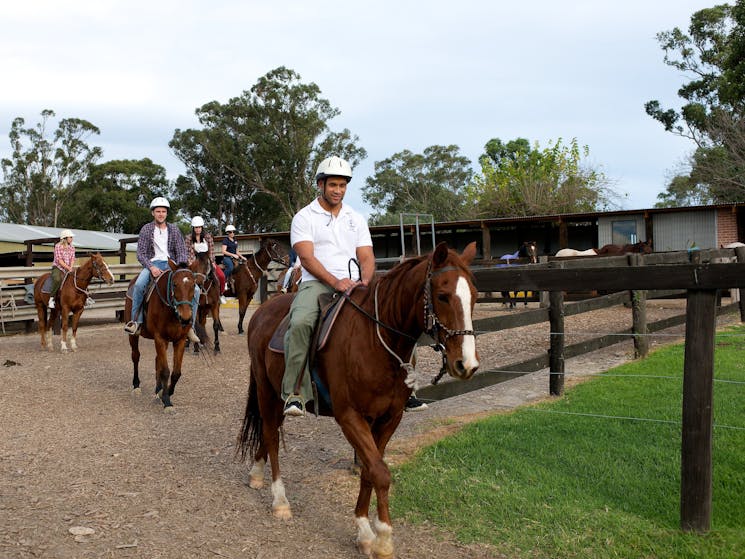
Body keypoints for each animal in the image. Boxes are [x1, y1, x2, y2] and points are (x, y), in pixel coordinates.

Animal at [124, 262, 206, 412]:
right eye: (174, 284)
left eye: (193, 285)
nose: (186, 318)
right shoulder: (160, 338)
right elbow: (166, 371)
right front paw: (167, 401)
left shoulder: (179, 340)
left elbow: (176, 372)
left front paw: (164, 392)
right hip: (133, 336)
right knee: (136, 356)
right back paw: (136, 385)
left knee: (158, 361)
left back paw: (158, 389)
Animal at [238, 242, 482, 559]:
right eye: (442, 295)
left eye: (474, 296)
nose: (467, 364)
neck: (375, 340)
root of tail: (262, 311)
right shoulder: (350, 417)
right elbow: (380, 472)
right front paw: (382, 539)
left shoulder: (389, 418)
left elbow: (369, 470)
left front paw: (365, 531)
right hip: (267, 391)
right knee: (270, 434)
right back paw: (280, 501)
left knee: (269, 434)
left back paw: (256, 473)